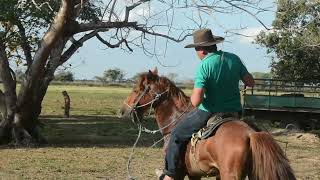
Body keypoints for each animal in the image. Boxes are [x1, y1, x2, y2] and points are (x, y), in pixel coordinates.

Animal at [119, 69, 296, 180]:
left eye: (137, 90)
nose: (123, 110)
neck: (175, 119)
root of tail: (251, 134)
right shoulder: (195, 174)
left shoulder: (181, 173)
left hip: (230, 176)